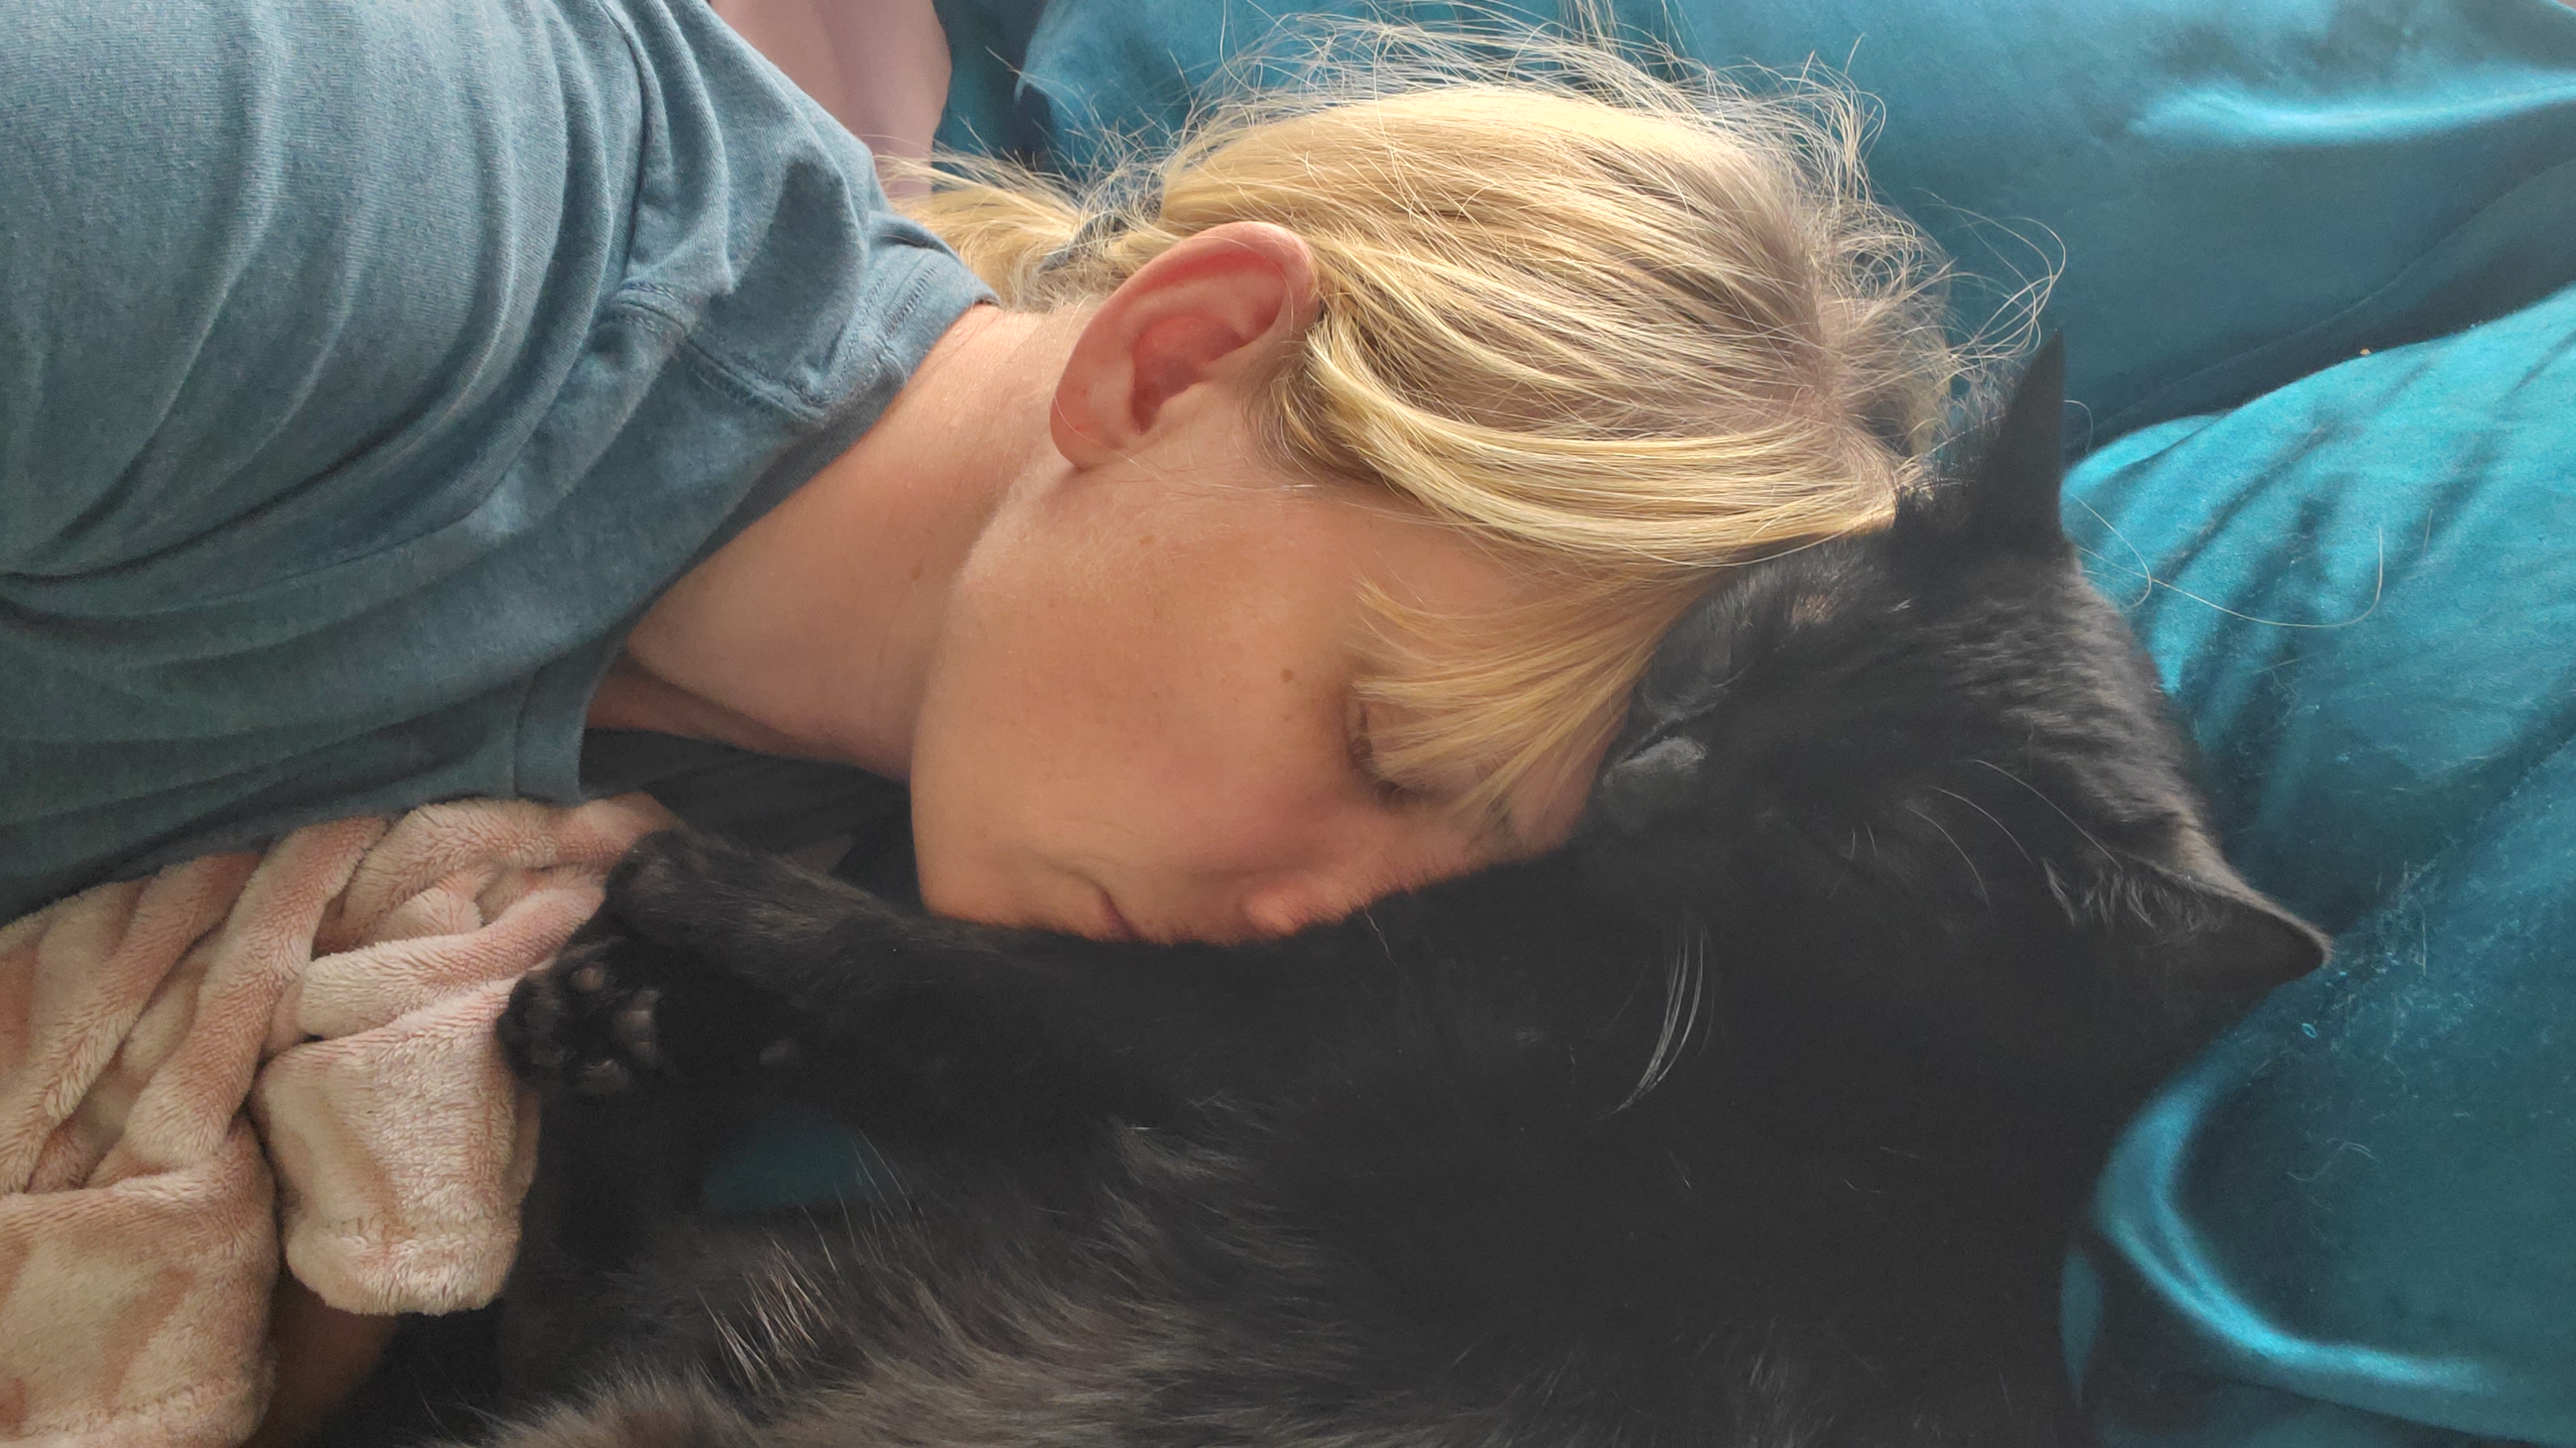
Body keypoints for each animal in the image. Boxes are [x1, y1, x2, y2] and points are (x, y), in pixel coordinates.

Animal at [428, 338, 2323, 1447]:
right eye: (1769, 641)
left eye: (1852, 839)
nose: (1657, 778)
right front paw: (683, 996)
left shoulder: (1273, 1020)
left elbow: (982, 977)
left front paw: (706, 896)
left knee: (553, 1325)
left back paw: (606, 1038)